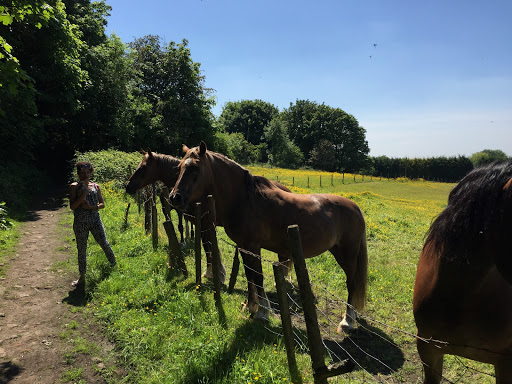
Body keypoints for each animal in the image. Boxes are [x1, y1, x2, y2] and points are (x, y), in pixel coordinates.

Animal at [172, 141, 368, 330]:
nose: (175, 197)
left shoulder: (253, 247)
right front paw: (250, 306)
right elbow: (250, 276)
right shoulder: (244, 247)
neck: (245, 199)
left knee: (352, 283)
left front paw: (262, 311)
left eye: (195, 168)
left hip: (347, 257)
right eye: (180, 166)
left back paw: (347, 320)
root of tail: (356, 208)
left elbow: (258, 277)